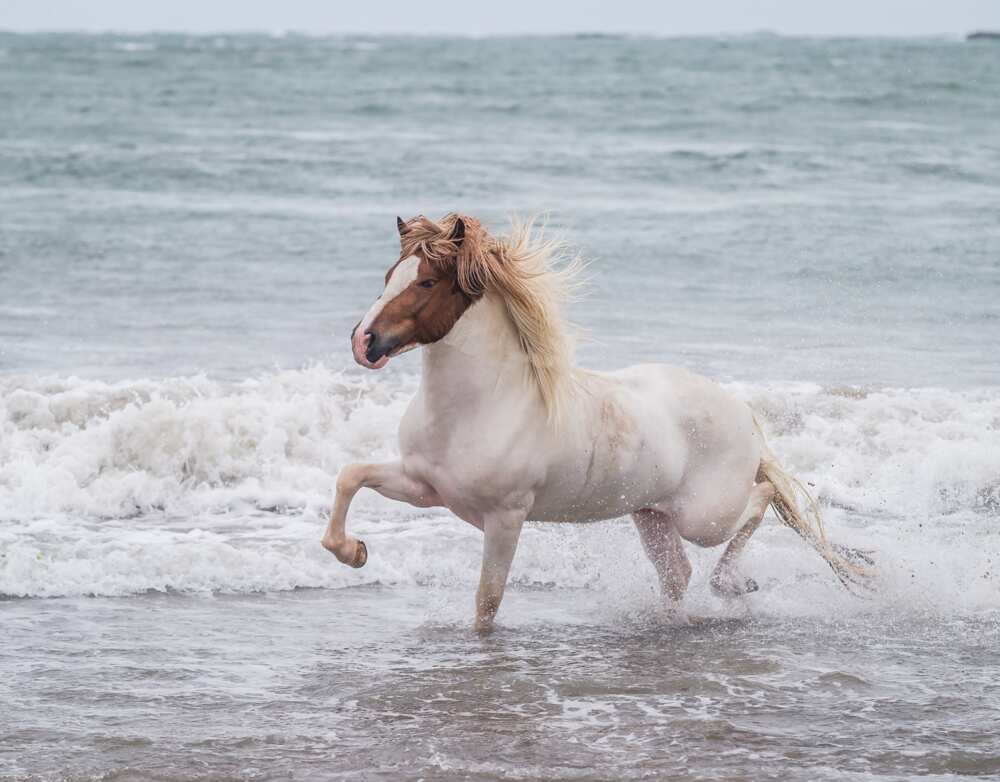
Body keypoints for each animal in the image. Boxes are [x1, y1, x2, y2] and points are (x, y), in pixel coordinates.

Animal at [324, 213, 872, 632]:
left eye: (427, 282)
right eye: (389, 274)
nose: (362, 342)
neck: (479, 406)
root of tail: (743, 413)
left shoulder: (505, 518)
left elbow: (487, 603)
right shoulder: (425, 487)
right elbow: (351, 475)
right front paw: (354, 553)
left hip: (703, 517)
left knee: (757, 501)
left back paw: (735, 584)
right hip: (650, 514)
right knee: (678, 572)